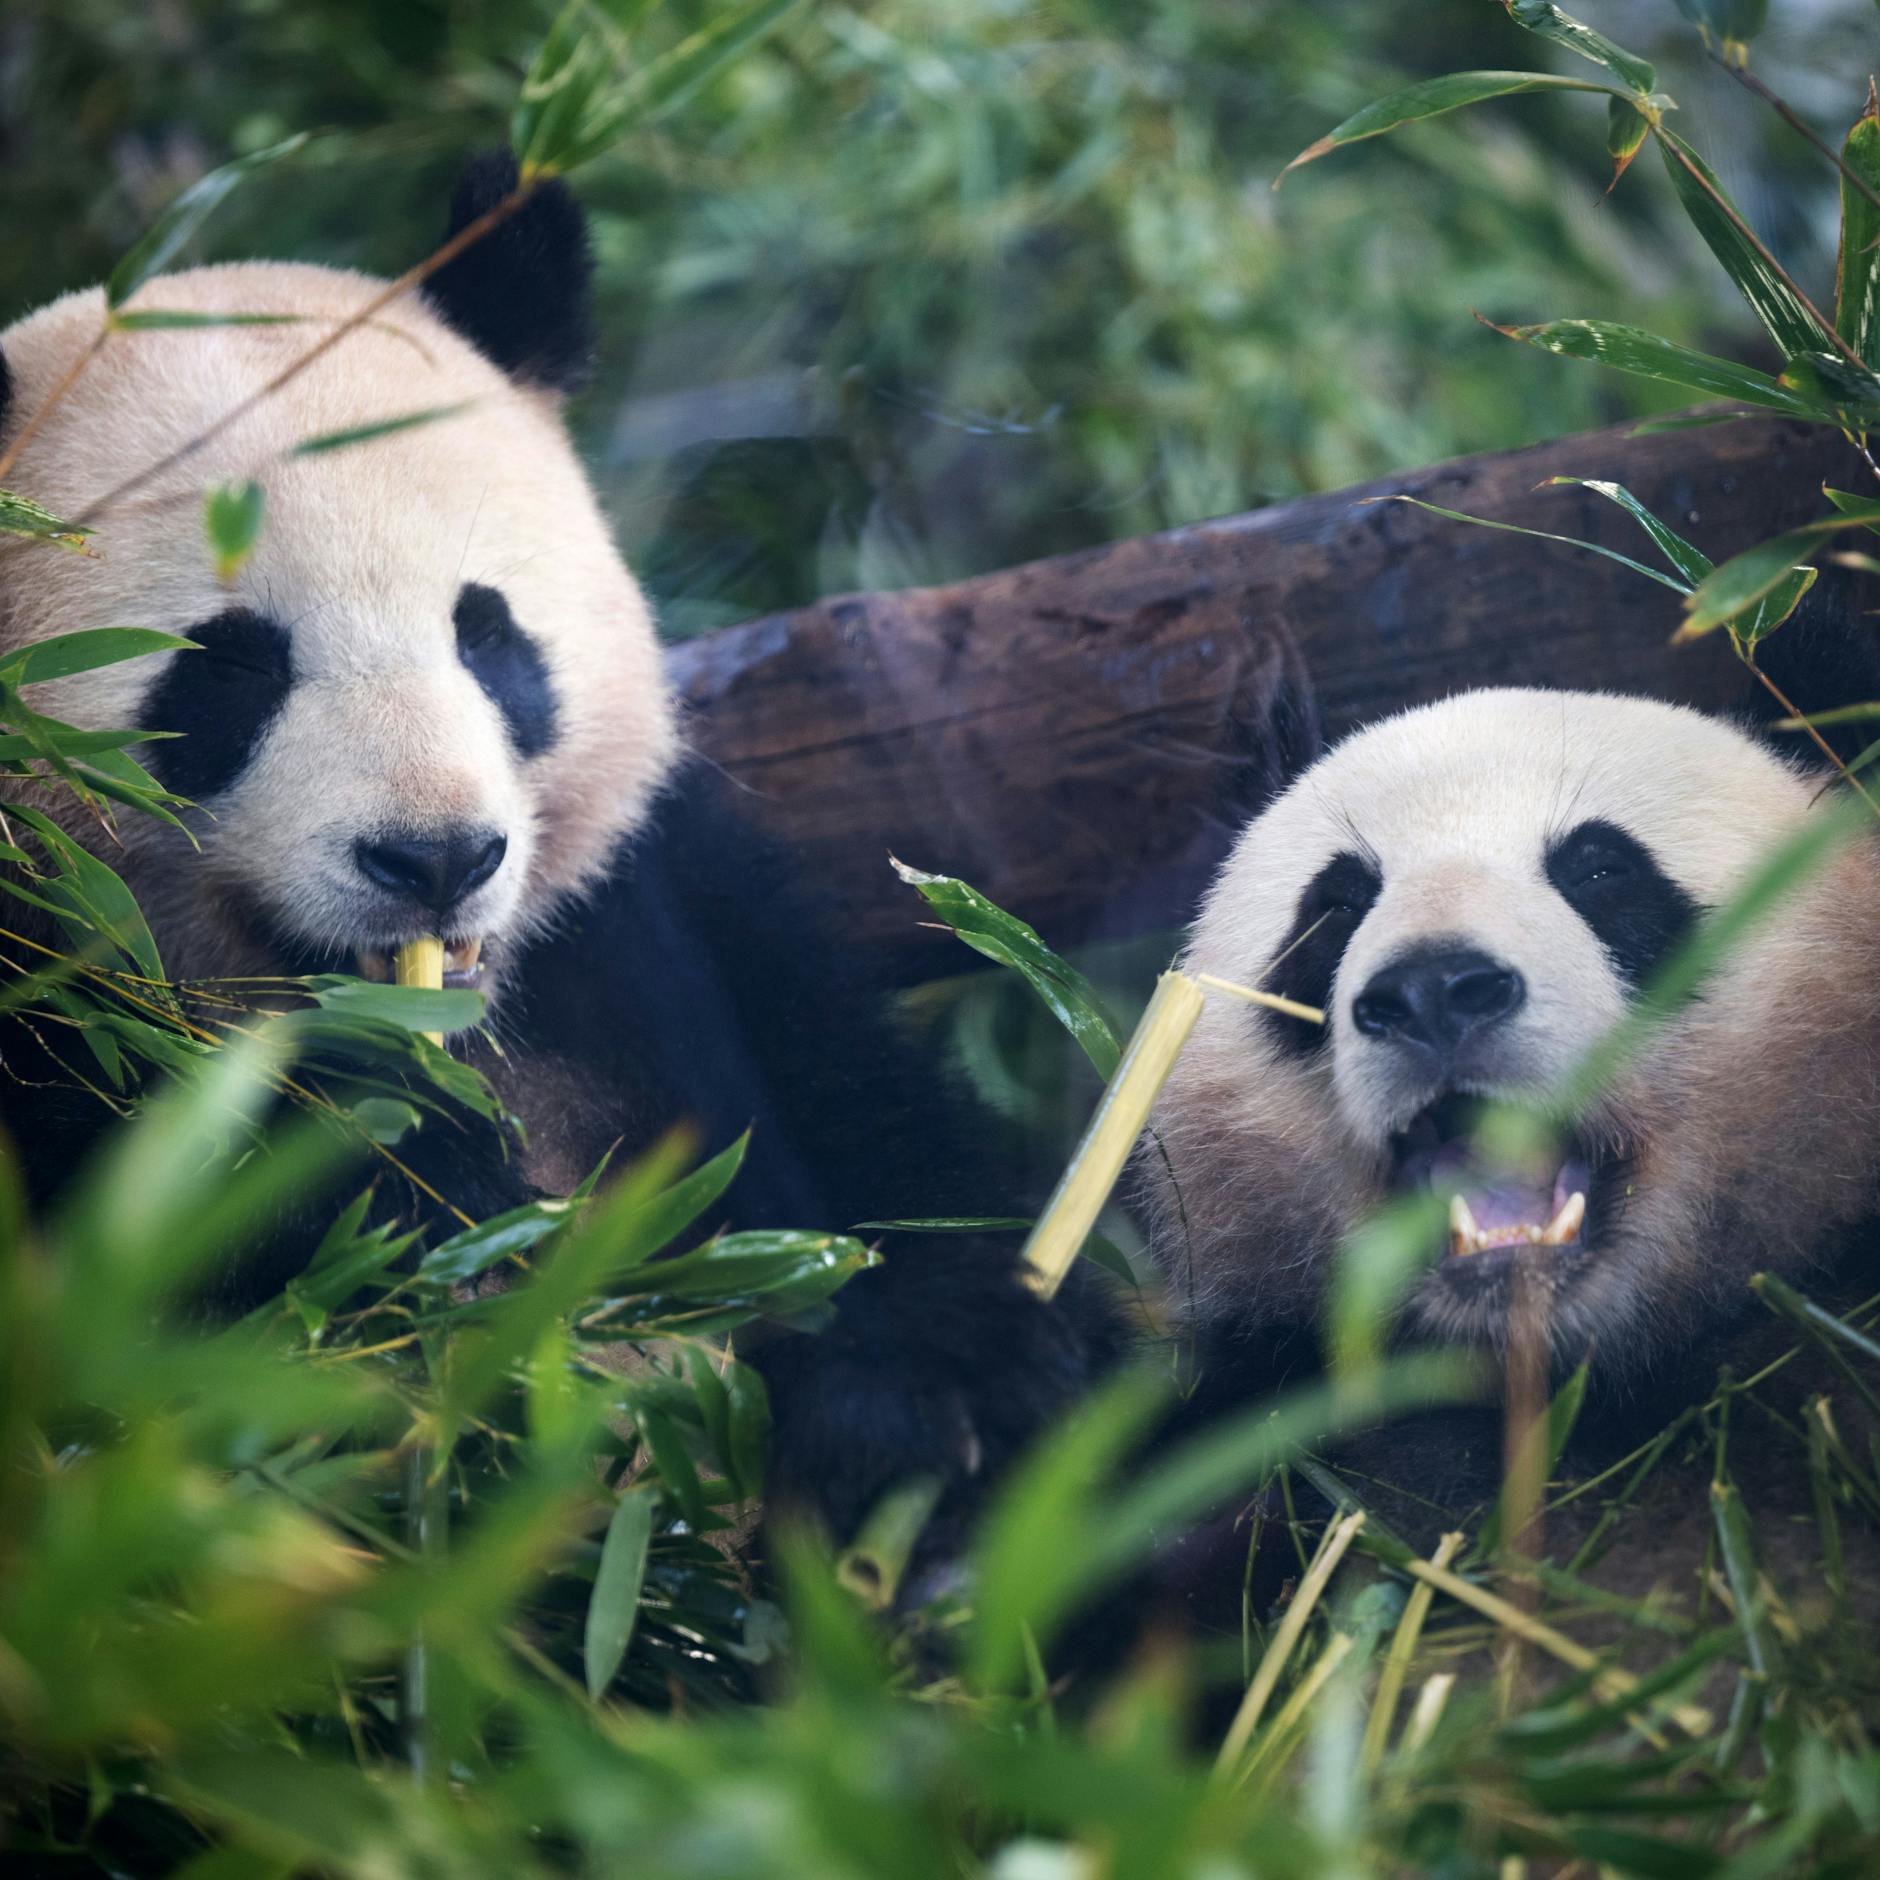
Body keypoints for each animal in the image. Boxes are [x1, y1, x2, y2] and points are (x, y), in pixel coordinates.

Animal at [0, 153, 1104, 1553]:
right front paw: (421, 1193)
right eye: (228, 672)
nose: (436, 858)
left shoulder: (652, 905)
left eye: (487, 634)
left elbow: (868, 1135)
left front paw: (944, 1391)